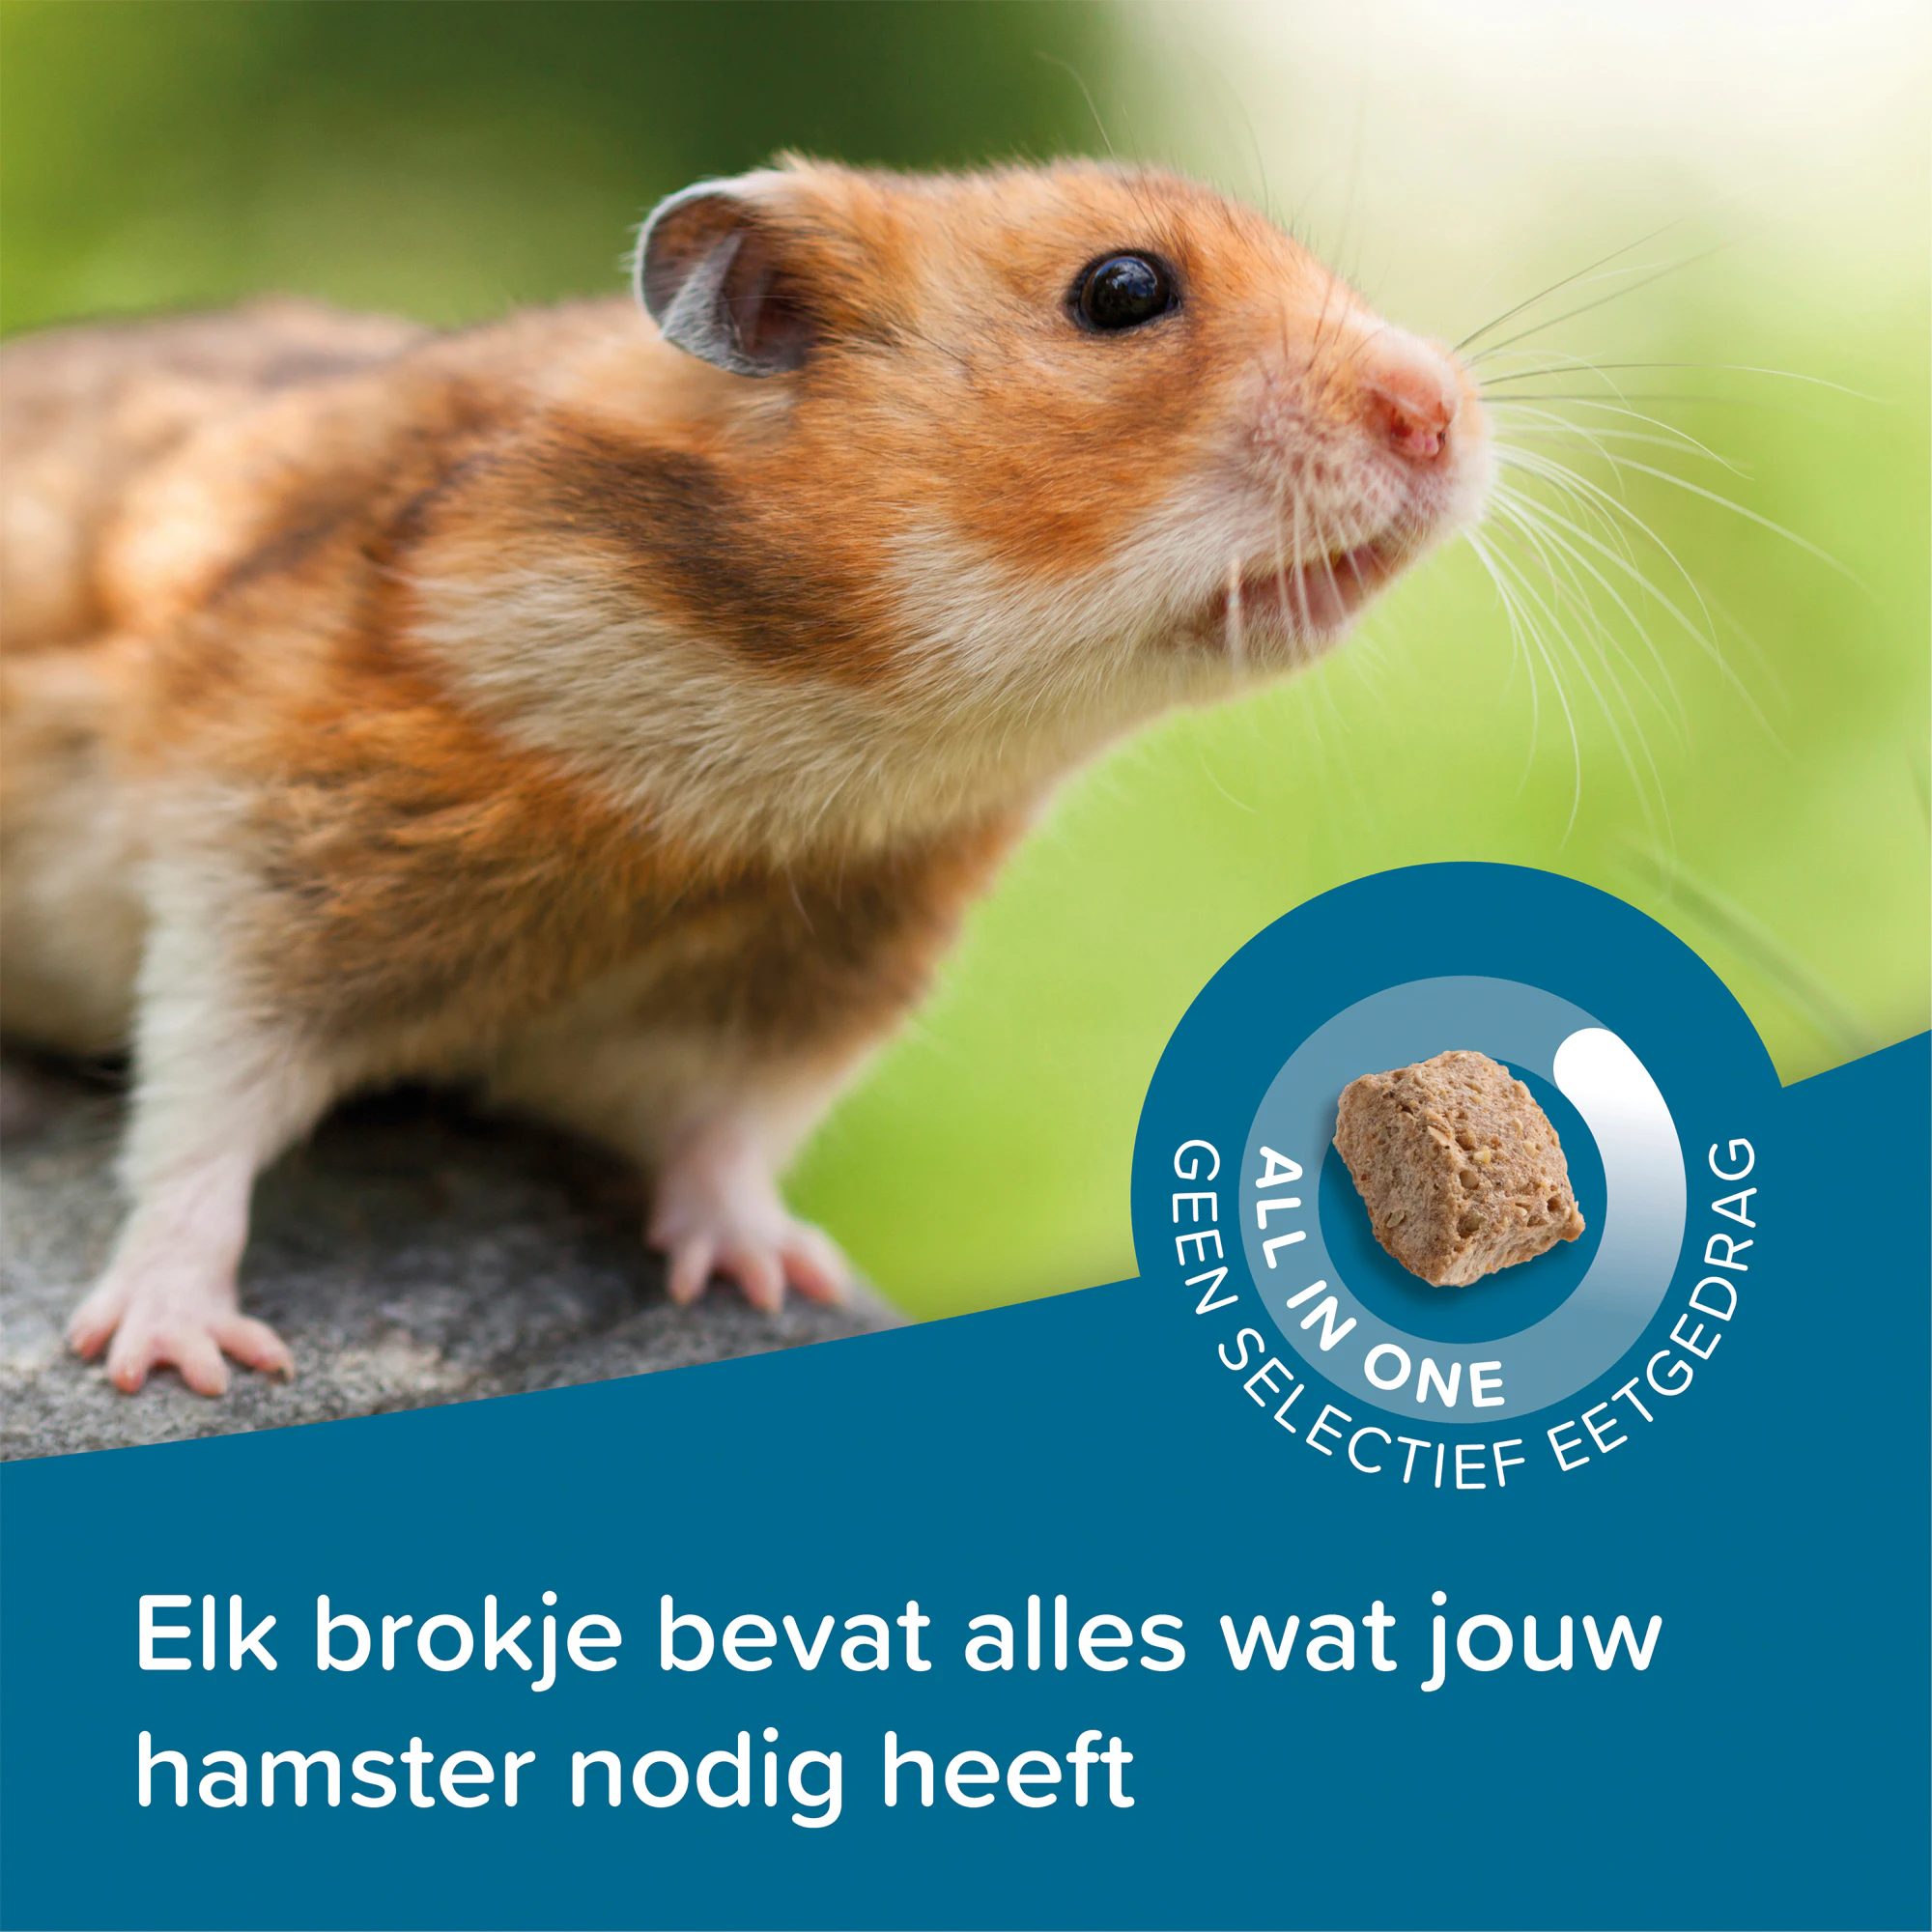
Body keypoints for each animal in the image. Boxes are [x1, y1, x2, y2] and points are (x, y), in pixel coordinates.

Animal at [0, 159, 1490, 1395]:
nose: (1444, 415)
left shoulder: (812, 975)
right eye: (1121, 291)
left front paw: (777, 1278)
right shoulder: (268, 854)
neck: (825, 749)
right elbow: (202, 1106)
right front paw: (174, 1359)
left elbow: (729, 1137)